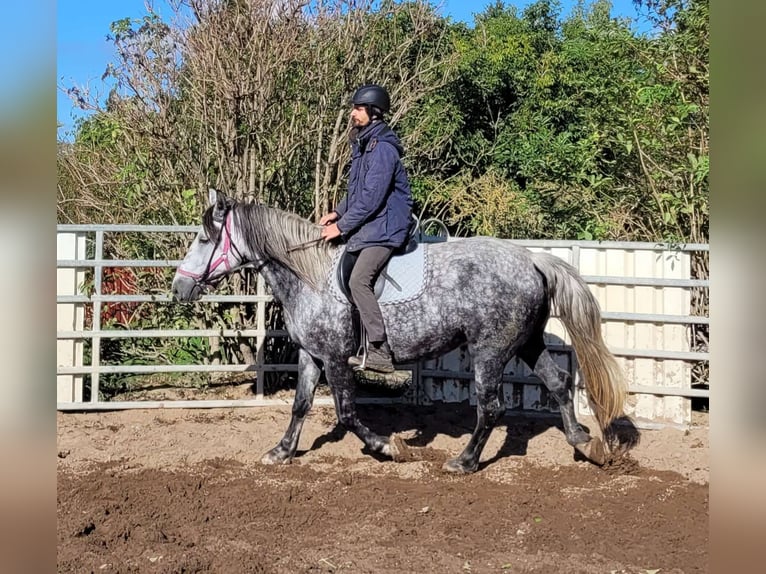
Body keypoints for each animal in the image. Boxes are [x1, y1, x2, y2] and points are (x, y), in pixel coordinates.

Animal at [174, 191, 632, 474]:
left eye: (203, 239)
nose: (179, 287)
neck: (310, 276)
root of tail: (533, 259)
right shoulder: (311, 354)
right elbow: (300, 405)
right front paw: (282, 451)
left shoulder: (335, 358)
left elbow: (347, 412)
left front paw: (387, 447)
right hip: (527, 343)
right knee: (558, 383)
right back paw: (584, 444)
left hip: (490, 351)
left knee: (492, 407)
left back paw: (464, 462)